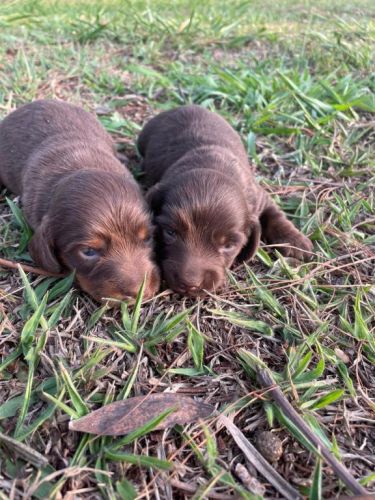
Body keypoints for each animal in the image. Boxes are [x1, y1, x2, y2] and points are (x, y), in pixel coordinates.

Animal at [138, 103, 314, 294]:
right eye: (170, 232)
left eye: (229, 245)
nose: (190, 284)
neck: (212, 164)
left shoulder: (259, 197)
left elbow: (275, 216)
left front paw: (296, 242)